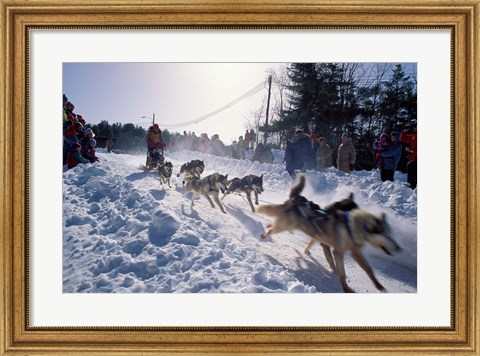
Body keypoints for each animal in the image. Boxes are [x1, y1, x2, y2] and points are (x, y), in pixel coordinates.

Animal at [256, 174, 400, 294]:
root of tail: (296, 199)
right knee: (273, 225)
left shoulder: (355, 252)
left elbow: (368, 269)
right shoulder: (337, 252)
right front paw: (345, 287)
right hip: (286, 224)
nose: (398, 247)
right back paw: (265, 233)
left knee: (275, 221)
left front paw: (378, 285)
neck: (351, 227)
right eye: (386, 235)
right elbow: (340, 270)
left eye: (391, 235)